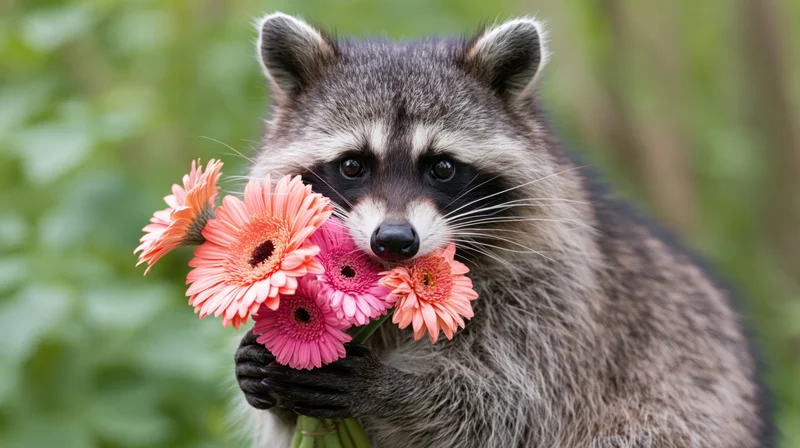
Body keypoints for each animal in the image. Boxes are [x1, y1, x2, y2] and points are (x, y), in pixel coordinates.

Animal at [232, 13, 772, 448]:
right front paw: (264, 368)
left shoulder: (556, 300)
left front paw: (392, 388)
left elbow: (505, 408)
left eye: (442, 167)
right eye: (352, 165)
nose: (395, 240)